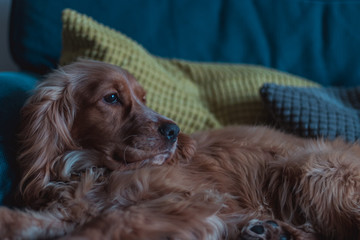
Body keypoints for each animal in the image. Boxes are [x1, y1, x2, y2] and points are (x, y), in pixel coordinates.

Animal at [0, 58, 360, 240]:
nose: (174, 131)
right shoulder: (73, 209)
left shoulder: (196, 199)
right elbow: (22, 221)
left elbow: (107, 223)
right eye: (111, 98)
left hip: (311, 169)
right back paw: (266, 230)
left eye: (144, 98)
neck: (93, 167)